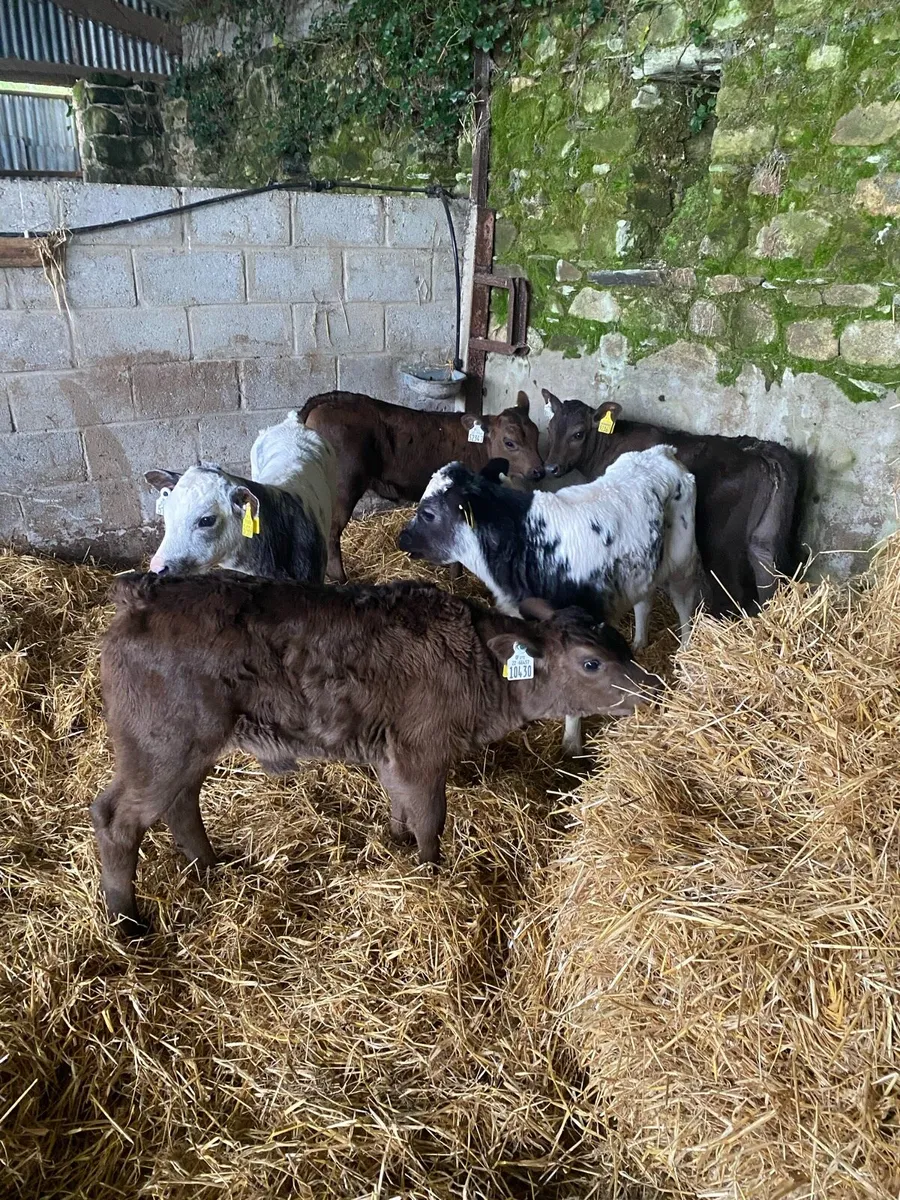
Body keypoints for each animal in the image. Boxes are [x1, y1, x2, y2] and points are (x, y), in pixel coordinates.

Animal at [91, 573, 661, 932]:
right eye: (591, 663)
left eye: (619, 643)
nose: (654, 689)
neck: (478, 664)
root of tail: (140, 595)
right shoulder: (422, 752)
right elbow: (431, 817)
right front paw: (430, 874)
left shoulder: (393, 753)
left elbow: (401, 806)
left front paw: (395, 841)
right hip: (160, 747)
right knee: (117, 819)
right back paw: (126, 921)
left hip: (188, 748)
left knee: (182, 805)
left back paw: (210, 867)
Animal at [299, 390, 544, 583]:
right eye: (510, 442)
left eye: (536, 436)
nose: (540, 470)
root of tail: (330, 398)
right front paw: (457, 578)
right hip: (344, 486)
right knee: (332, 532)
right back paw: (339, 578)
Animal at [397, 447, 700, 756]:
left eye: (428, 514)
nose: (401, 538)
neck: (523, 544)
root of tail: (660, 452)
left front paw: (571, 744)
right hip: (645, 568)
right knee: (644, 600)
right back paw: (639, 641)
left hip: (682, 561)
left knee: (684, 604)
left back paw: (687, 649)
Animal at [542, 390, 802, 616]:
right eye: (550, 428)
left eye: (578, 434)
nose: (550, 467)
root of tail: (760, 452)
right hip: (765, 537)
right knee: (769, 580)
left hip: (720, 541)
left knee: (733, 590)